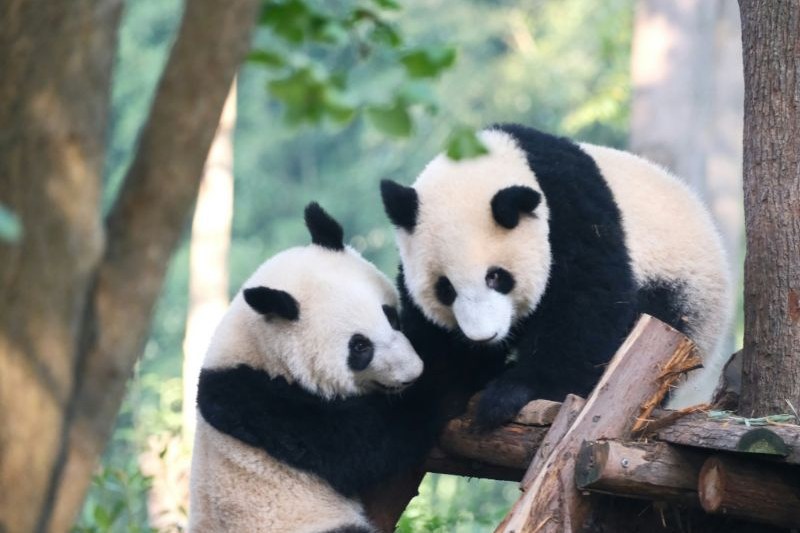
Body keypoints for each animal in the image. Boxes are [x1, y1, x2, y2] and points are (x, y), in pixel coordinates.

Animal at [189, 203, 437, 533]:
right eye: (360, 347)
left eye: (391, 316)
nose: (413, 372)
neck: (257, 349)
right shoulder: (260, 405)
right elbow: (375, 438)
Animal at [380, 124, 732, 430]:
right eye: (445, 289)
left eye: (496, 277)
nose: (483, 337)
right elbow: (432, 342)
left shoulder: (572, 214)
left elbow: (587, 308)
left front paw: (511, 392)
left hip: (681, 292)